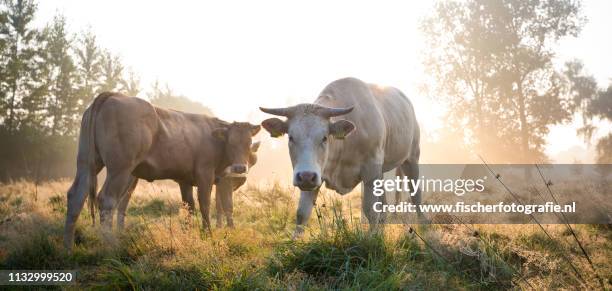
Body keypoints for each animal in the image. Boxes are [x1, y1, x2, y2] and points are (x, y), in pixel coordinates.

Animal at [63, 92, 260, 250]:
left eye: (249, 142)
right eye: (230, 142)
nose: (240, 168)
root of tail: (112, 95)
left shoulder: (185, 179)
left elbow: (189, 206)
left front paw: (190, 234)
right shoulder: (206, 175)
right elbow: (207, 205)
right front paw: (208, 234)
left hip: (86, 164)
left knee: (76, 196)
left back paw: (68, 248)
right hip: (120, 169)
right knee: (107, 200)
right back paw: (111, 246)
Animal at [258, 77, 420, 237]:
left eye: (324, 138)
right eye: (291, 137)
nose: (306, 176)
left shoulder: (370, 171)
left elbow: (371, 211)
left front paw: (372, 239)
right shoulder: (313, 177)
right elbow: (302, 213)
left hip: (411, 158)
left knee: (415, 195)